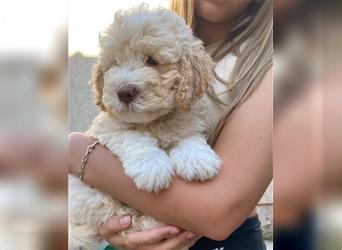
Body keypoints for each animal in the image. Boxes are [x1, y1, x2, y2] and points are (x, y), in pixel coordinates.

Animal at [69, 4, 222, 250]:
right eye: (114, 64)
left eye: (151, 61)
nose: (124, 92)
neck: (154, 121)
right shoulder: (109, 127)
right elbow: (134, 139)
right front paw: (153, 167)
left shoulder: (187, 118)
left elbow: (189, 137)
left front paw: (197, 160)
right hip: (89, 195)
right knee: (115, 215)